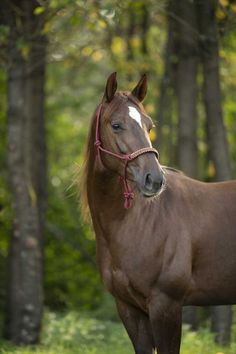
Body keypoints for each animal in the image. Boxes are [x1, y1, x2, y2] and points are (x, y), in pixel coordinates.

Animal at [80, 72, 236, 354]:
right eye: (116, 125)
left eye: (149, 126)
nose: (154, 179)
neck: (137, 223)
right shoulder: (130, 309)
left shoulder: (166, 306)